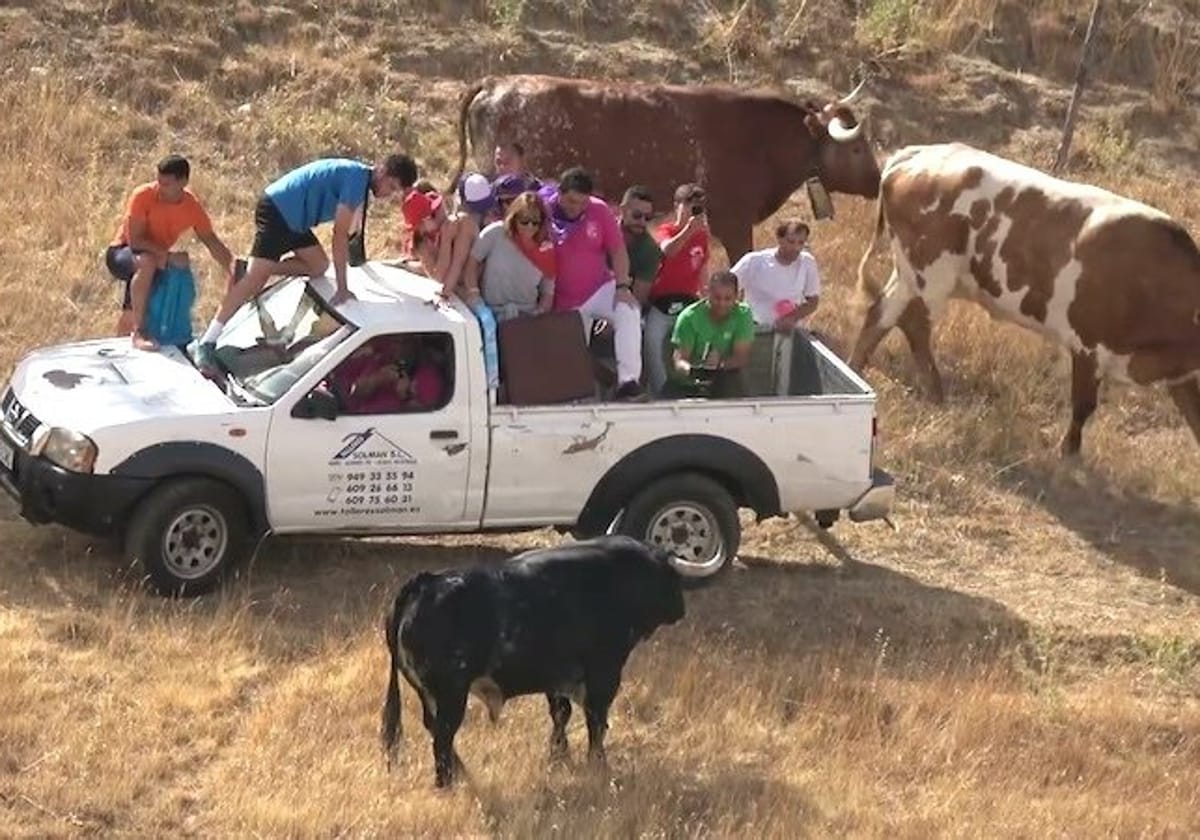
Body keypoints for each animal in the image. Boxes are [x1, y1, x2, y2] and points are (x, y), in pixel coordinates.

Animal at [379, 537, 691, 787]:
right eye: (671, 578)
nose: (681, 609)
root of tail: (424, 582)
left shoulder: (557, 677)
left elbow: (561, 714)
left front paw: (559, 755)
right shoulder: (604, 672)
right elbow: (596, 722)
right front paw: (598, 765)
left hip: (430, 694)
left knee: (435, 730)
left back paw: (461, 774)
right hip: (451, 693)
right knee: (443, 737)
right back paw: (447, 784)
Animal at [849, 144, 1200, 458]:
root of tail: (916, 153)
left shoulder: (1182, 376)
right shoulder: (1088, 345)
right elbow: (1083, 405)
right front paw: (1068, 455)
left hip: (908, 274)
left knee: (881, 313)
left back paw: (856, 368)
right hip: (932, 274)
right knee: (915, 325)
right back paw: (936, 393)